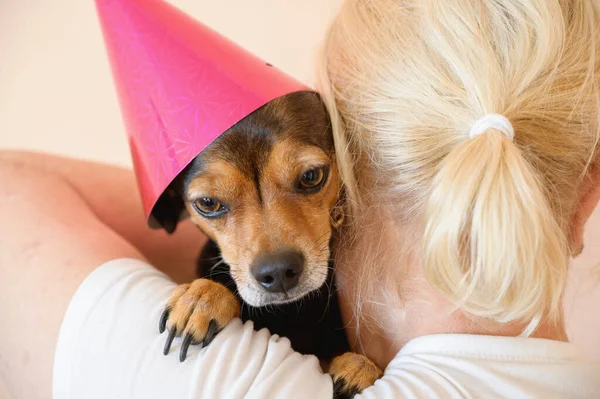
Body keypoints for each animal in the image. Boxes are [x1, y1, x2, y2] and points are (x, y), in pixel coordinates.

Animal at [152, 92, 382, 398]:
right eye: (208, 203)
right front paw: (204, 298)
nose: (278, 272)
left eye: (311, 176)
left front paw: (358, 369)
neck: (291, 311)